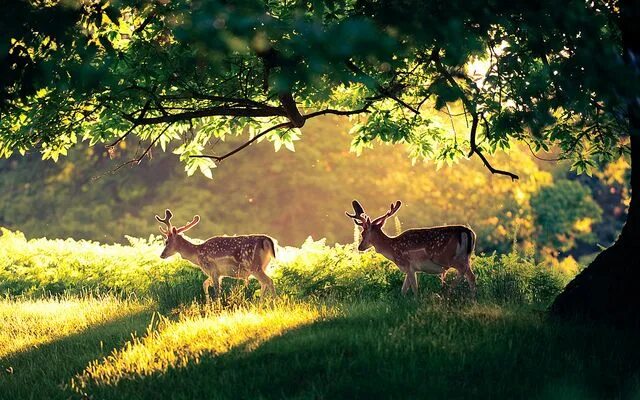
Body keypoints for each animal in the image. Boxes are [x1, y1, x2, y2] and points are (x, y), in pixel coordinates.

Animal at [344, 200, 476, 296]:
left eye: (363, 233)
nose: (360, 247)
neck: (392, 249)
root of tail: (468, 232)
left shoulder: (408, 265)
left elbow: (414, 289)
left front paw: (416, 301)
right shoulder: (411, 269)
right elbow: (403, 290)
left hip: (446, 257)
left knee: (463, 271)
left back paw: (448, 291)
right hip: (465, 257)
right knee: (471, 275)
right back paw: (472, 297)